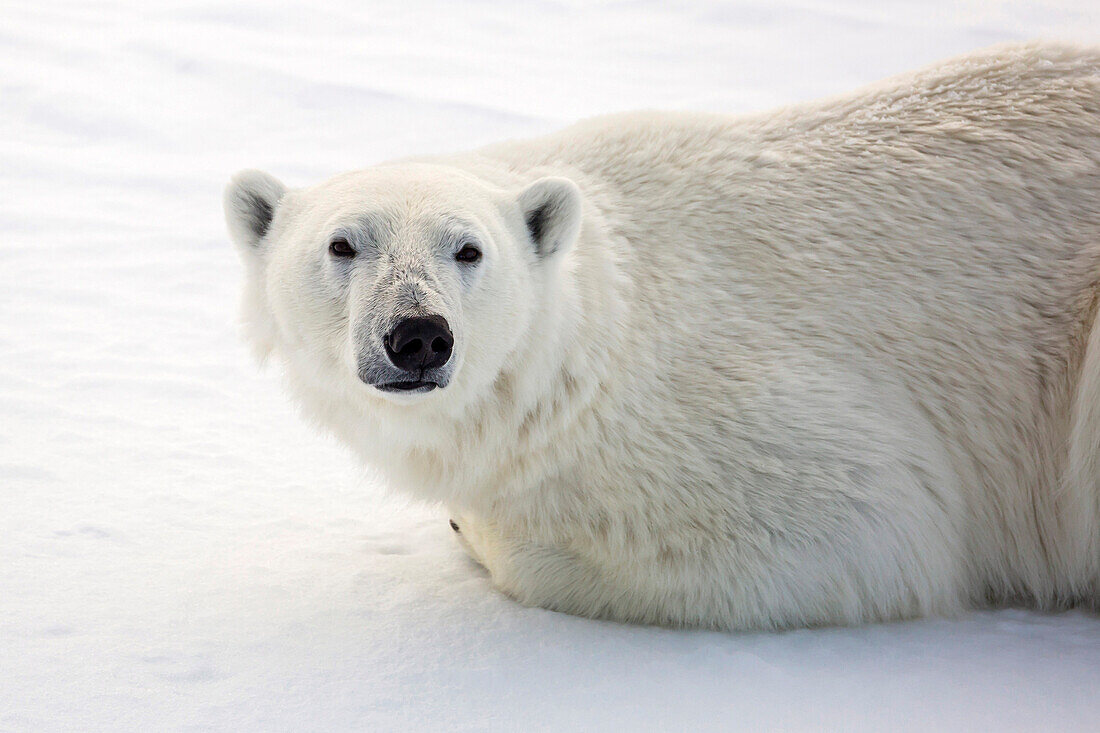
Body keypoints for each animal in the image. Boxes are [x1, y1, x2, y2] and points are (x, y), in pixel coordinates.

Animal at [225, 44, 1100, 629]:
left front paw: (476, 524)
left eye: (467, 248)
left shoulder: (737, 404)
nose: (418, 336)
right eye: (343, 244)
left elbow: (872, 522)